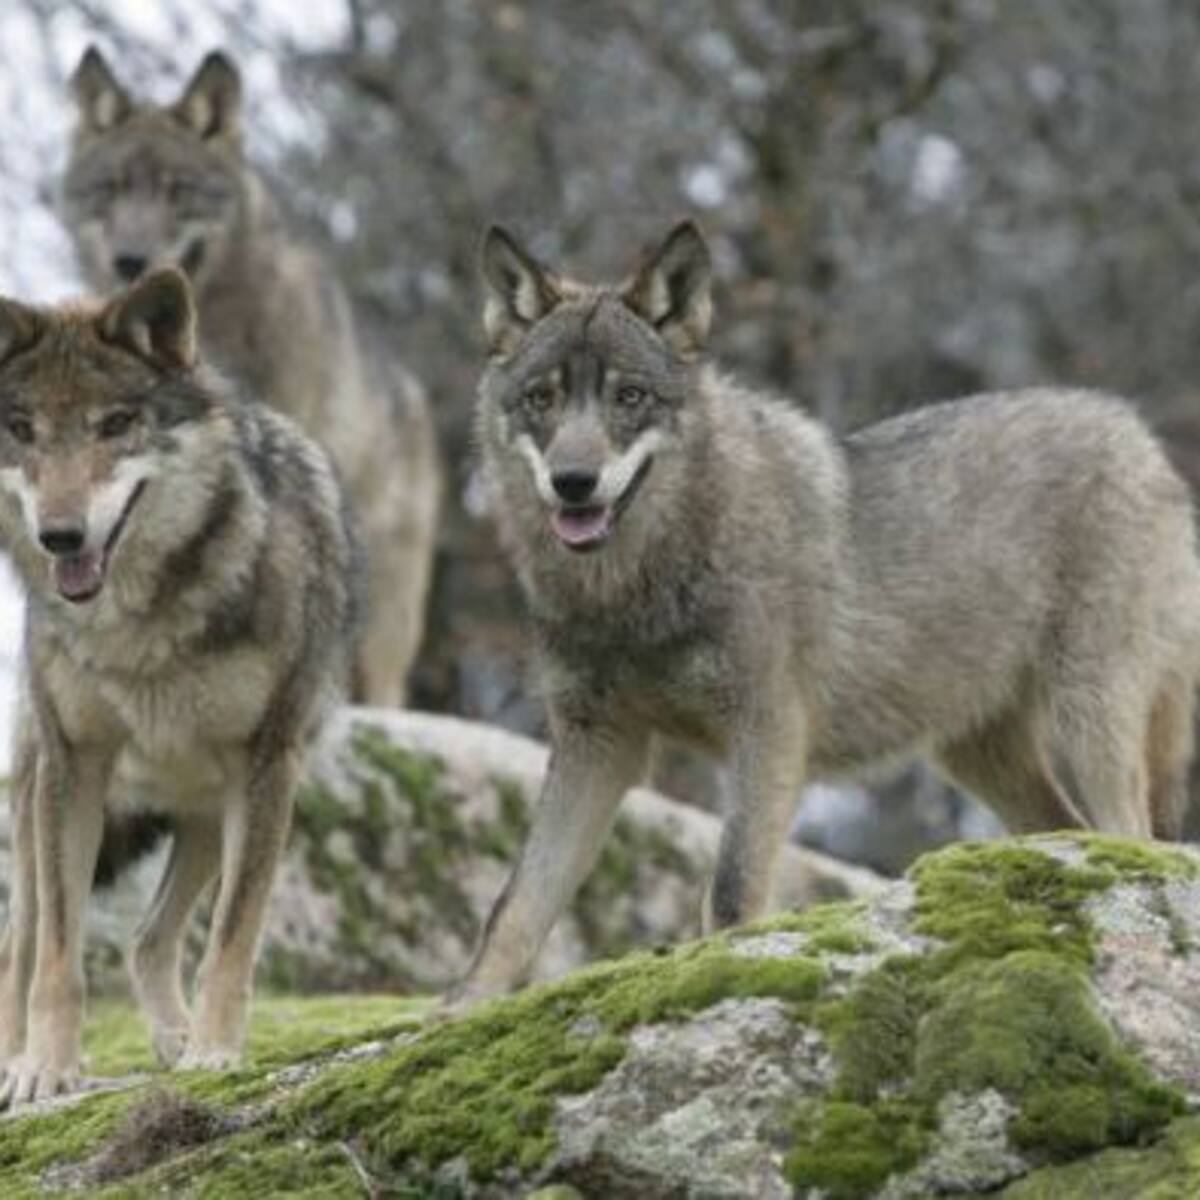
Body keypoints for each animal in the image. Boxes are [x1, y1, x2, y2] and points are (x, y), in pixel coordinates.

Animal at [0, 267, 363, 1103]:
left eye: (114, 425)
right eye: (23, 430)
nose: (59, 537)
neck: (137, 627)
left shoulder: (266, 766)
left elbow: (232, 937)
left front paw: (213, 1052)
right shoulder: (75, 767)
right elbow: (58, 955)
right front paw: (49, 1071)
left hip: (206, 812)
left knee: (146, 937)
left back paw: (174, 1037)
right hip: (40, 799)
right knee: (19, 942)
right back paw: (17, 1062)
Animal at [456, 219, 1200, 1002]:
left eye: (629, 396)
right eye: (541, 399)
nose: (574, 482)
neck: (635, 590)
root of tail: (1141, 437)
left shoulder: (767, 730)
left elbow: (730, 893)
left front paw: (722, 973)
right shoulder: (595, 746)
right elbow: (513, 909)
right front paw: (458, 1010)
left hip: (1088, 718)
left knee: (1134, 836)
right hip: (979, 754)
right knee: (1072, 830)